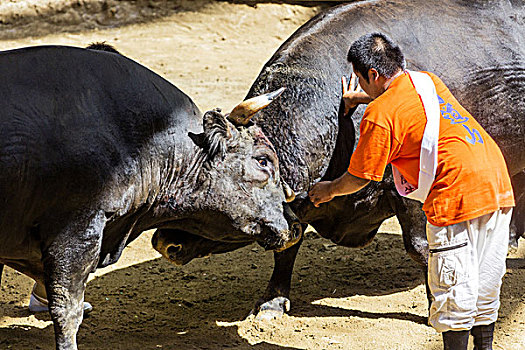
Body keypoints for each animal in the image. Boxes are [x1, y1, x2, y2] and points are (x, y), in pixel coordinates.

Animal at [156, 0, 524, 316]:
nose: (163, 242)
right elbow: (287, 246)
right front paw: (273, 301)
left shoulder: (408, 190)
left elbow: (420, 246)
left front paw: (436, 305)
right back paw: (508, 241)